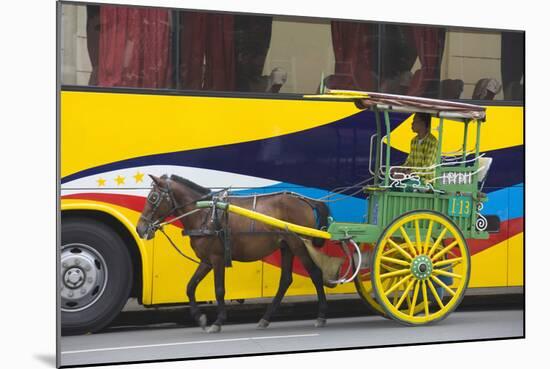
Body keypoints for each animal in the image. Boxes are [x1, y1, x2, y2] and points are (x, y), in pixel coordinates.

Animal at [137, 174, 336, 332]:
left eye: (153, 197)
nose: (140, 228)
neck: (205, 214)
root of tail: (305, 201)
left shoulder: (217, 259)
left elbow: (219, 290)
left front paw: (218, 321)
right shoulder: (206, 261)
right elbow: (190, 287)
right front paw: (199, 317)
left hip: (299, 245)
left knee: (315, 274)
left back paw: (321, 315)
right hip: (286, 245)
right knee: (286, 280)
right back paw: (265, 318)